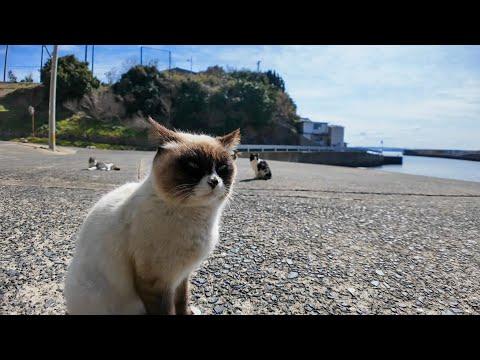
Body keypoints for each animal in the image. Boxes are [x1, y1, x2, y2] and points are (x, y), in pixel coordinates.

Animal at [64, 116, 240, 314]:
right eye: (193, 166)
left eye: (222, 168)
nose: (214, 181)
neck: (196, 216)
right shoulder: (156, 282)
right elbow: (166, 311)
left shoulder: (182, 276)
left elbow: (183, 301)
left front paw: (188, 312)